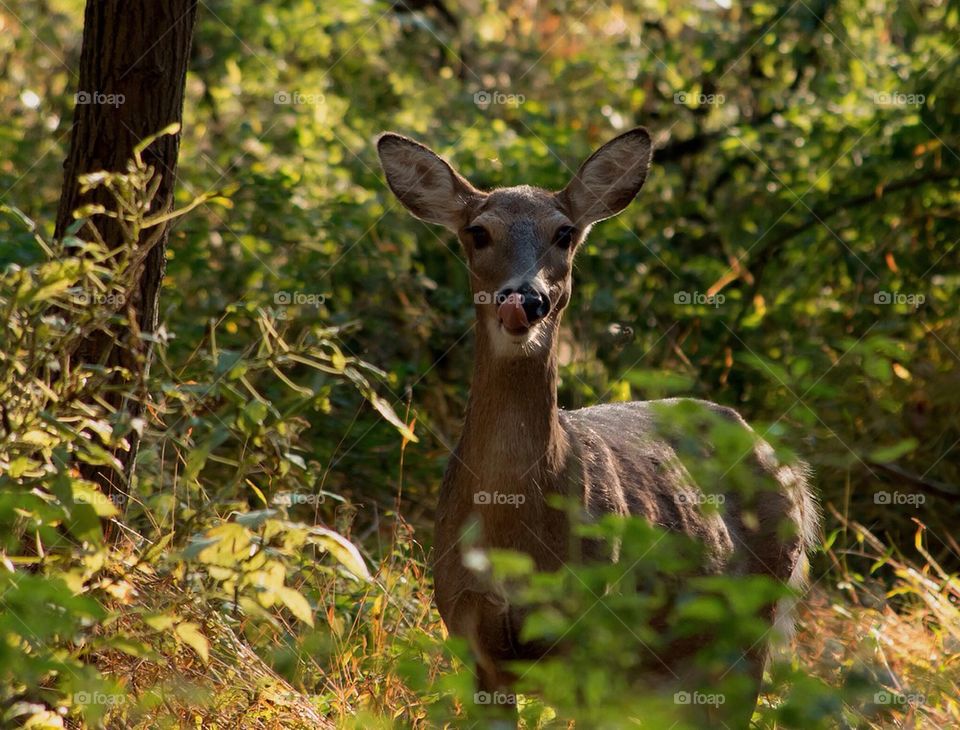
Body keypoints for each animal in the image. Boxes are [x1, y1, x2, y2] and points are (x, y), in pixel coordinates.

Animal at [376, 127, 819, 726]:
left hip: (752, 618)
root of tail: (785, 465)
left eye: (564, 233)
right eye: (477, 231)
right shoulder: (470, 635)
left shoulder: (595, 638)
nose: (525, 299)